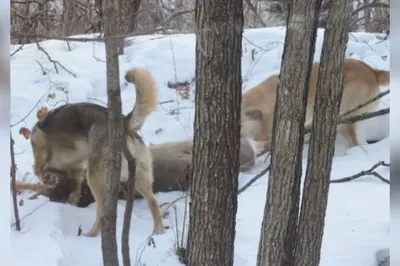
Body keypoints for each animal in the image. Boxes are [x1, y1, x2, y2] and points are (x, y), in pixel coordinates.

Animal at [28, 66, 164, 237]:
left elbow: (37, 169)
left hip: (95, 177)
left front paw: (47, 179)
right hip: (139, 178)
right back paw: (159, 232)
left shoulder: (40, 147)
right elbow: (74, 191)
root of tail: (124, 123)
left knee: (103, 212)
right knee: (153, 202)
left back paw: (91, 234)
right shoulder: (76, 171)